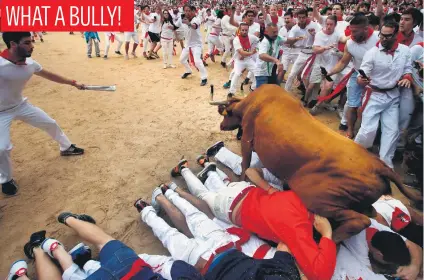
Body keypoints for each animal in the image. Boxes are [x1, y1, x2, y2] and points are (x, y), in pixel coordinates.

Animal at [210, 83, 422, 243]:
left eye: (226, 114)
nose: (220, 125)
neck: (255, 102)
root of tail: (379, 166)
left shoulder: (247, 139)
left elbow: (245, 163)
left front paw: (241, 179)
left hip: (317, 198)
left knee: (360, 221)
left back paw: (329, 240)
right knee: (370, 214)